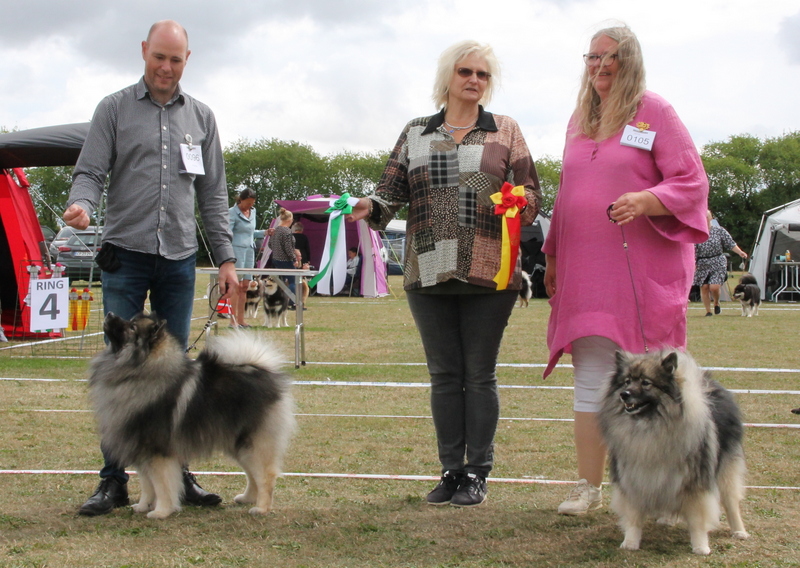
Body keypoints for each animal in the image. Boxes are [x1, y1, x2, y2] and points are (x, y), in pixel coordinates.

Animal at [88, 310, 294, 520]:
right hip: (239, 444)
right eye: (129, 321)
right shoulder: (143, 451)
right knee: (252, 474)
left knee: (265, 476)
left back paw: (261, 508)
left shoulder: (158, 452)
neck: (140, 372)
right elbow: (147, 485)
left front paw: (161, 511)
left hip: (253, 444)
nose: (109, 313)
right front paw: (143, 506)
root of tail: (262, 372)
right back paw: (247, 498)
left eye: (131, 327)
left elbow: (162, 485)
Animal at [600, 350, 752, 556]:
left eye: (646, 382)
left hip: (725, 470)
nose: (624, 394)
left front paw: (700, 546)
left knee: (731, 501)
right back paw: (667, 519)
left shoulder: (695, 483)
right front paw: (630, 542)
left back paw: (739, 531)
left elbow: (697, 519)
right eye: (626, 381)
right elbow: (633, 515)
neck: (649, 427)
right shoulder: (633, 478)